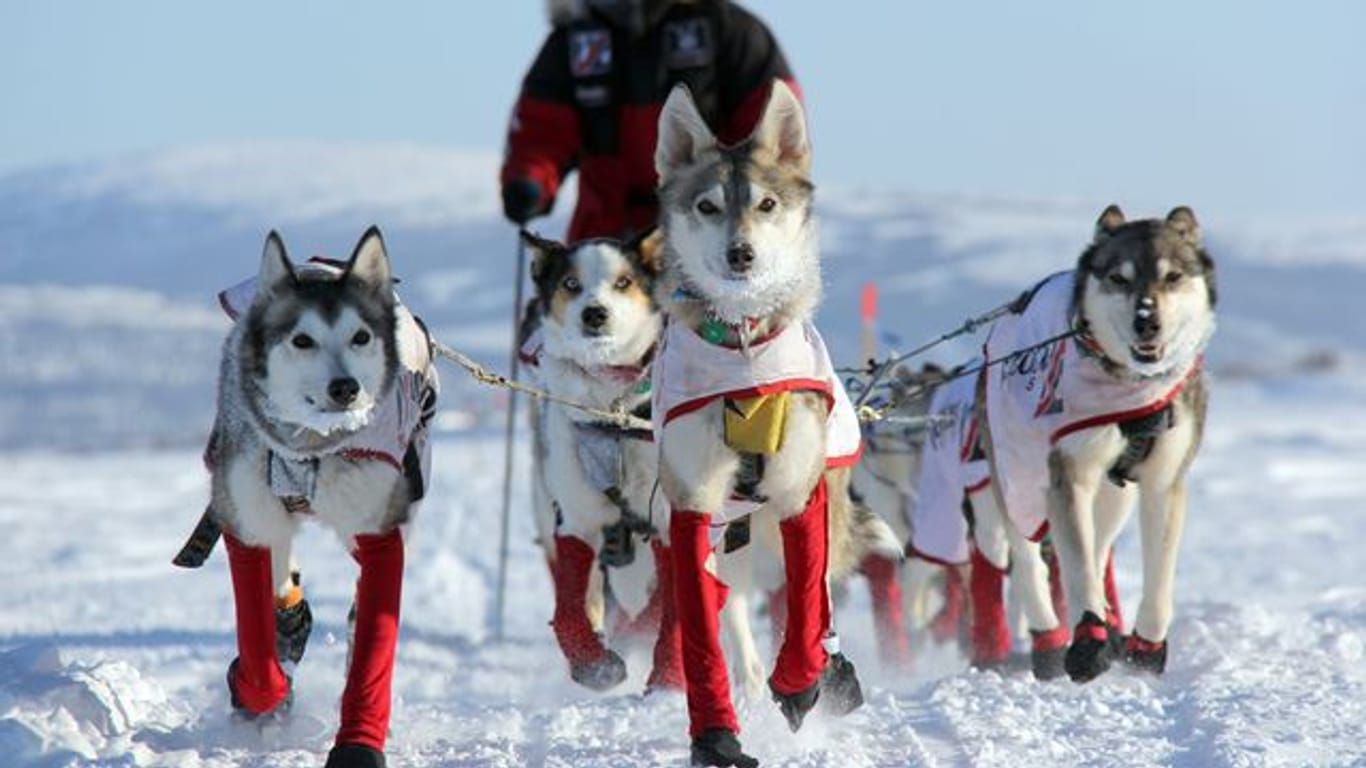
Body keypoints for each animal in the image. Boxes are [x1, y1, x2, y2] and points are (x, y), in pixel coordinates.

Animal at [198, 226, 431, 765]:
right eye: (302, 340)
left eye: (360, 336)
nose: (345, 387)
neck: (309, 449)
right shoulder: (246, 520)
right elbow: (256, 640)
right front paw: (259, 689)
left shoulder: (379, 531)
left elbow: (373, 649)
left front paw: (358, 744)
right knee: (282, 572)